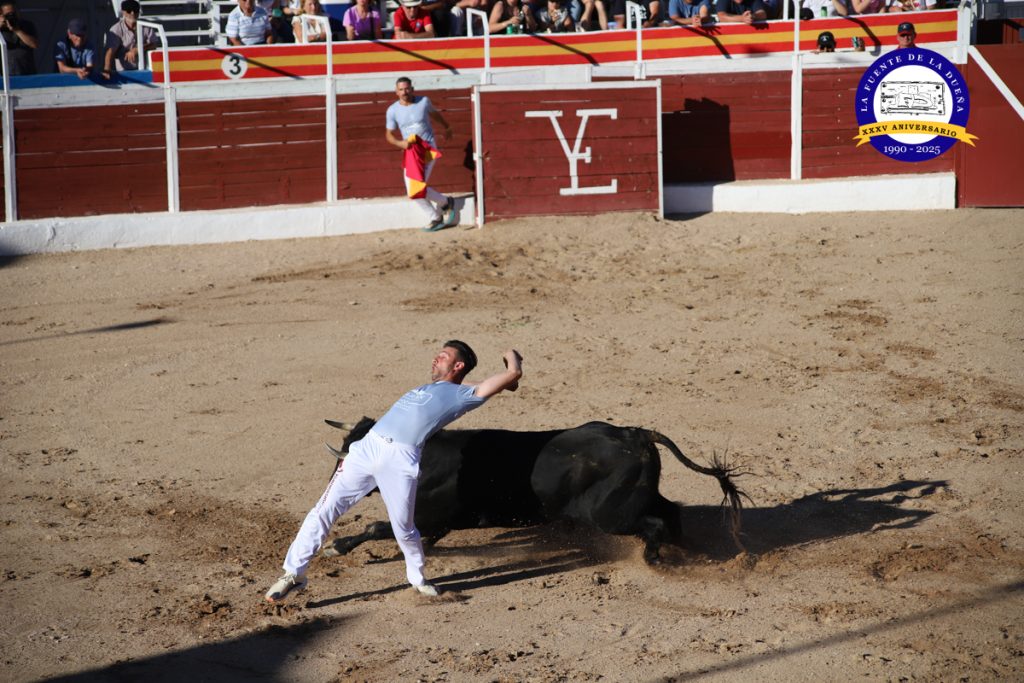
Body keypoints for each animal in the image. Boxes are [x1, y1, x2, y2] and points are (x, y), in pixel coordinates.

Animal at [322, 417, 748, 564]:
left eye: (350, 460)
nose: (333, 488)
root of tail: (636, 433)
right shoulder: (434, 523)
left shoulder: (428, 516)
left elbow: (380, 528)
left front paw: (338, 546)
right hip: (636, 498)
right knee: (671, 512)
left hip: (611, 516)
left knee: (655, 523)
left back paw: (655, 558)